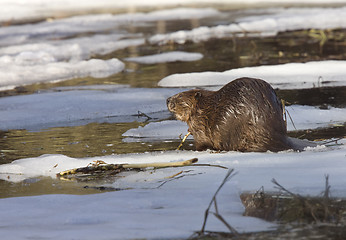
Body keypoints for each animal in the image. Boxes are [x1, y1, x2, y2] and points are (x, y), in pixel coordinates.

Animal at [166, 77, 312, 152]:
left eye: (179, 96)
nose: (167, 100)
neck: (204, 106)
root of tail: (282, 139)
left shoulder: (199, 123)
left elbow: (201, 141)